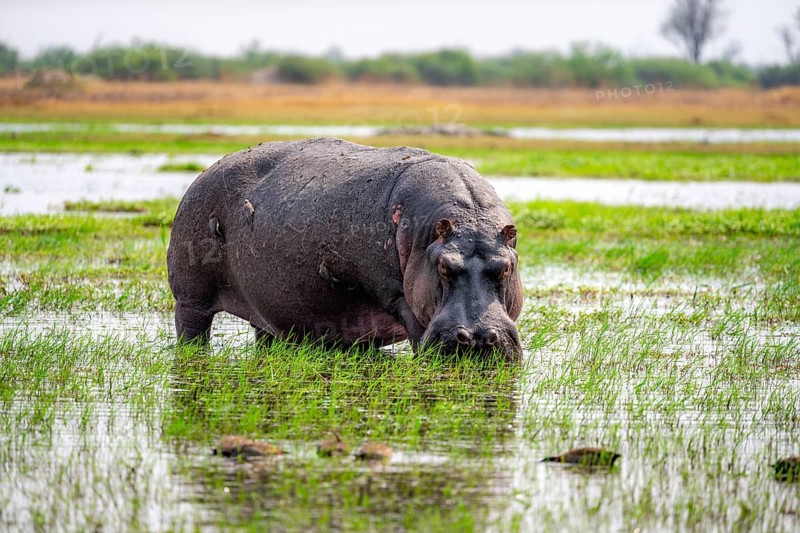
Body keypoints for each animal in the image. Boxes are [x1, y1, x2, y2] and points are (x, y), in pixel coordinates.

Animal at [167, 138, 523, 360]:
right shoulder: (402, 302)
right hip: (190, 298)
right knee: (191, 331)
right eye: (444, 266)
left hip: (265, 308)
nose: (476, 338)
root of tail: (205, 172)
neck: (469, 218)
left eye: (506, 267)